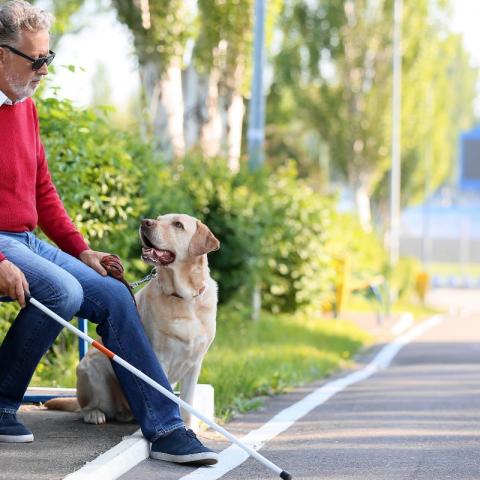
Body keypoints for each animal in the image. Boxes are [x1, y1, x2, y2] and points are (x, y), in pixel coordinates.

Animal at [46, 214, 218, 428]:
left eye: (178, 224)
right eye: (159, 218)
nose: (146, 222)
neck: (184, 298)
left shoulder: (195, 363)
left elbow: (187, 402)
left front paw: (186, 425)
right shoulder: (159, 358)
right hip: (93, 370)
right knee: (86, 406)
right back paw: (94, 414)